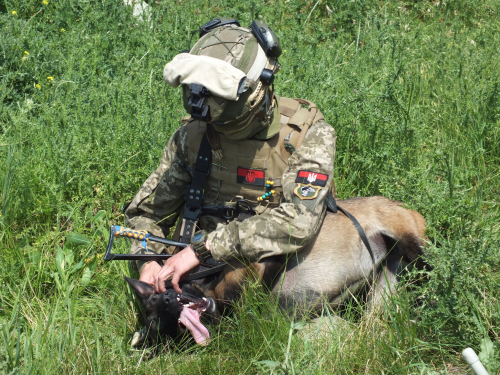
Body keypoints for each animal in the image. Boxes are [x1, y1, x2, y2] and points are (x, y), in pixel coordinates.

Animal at [124, 198, 426, 348]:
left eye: (161, 294)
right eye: (157, 322)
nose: (167, 301)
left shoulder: (253, 268)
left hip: (412, 242)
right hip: (385, 286)